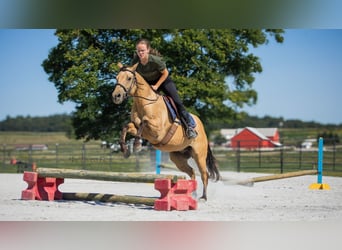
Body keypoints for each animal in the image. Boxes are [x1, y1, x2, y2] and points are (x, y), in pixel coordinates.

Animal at [111, 63, 220, 200]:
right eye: (116, 77)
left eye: (129, 78)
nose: (116, 96)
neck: (144, 103)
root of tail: (202, 127)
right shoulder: (137, 127)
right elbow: (126, 127)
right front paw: (125, 150)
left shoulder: (157, 131)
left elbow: (144, 122)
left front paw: (136, 145)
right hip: (177, 158)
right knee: (192, 172)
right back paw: (192, 194)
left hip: (199, 155)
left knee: (204, 174)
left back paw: (203, 197)